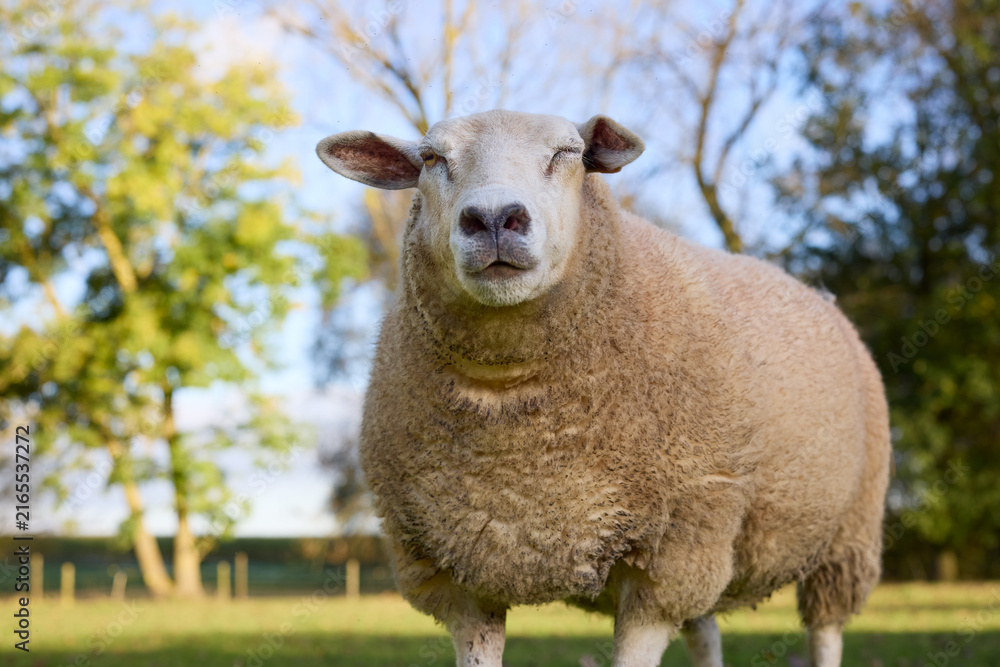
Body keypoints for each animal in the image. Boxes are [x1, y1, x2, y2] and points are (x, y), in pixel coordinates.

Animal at [316, 110, 891, 667]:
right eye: (432, 158)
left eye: (567, 153)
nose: (495, 219)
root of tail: (821, 296)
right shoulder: (460, 574)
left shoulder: (664, 561)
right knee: (705, 632)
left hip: (836, 539)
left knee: (825, 632)